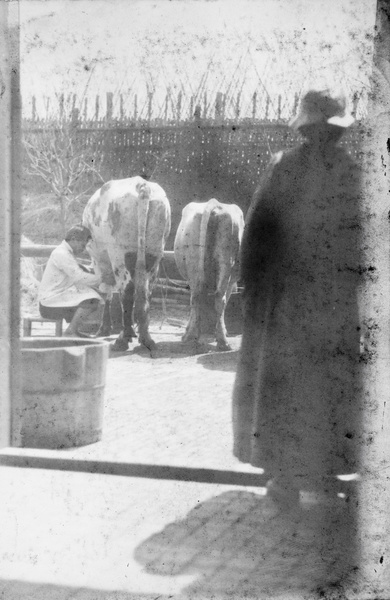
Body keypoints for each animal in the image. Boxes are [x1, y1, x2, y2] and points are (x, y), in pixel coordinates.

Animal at [83, 173, 170, 352]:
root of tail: (142, 185)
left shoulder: (99, 259)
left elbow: (106, 291)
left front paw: (104, 328)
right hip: (153, 254)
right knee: (145, 293)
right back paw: (145, 338)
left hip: (120, 255)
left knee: (127, 291)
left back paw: (123, 339)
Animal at [174, 199, 244, 350]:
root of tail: (214, 204)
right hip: (224, 262)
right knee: (215, 298)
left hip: (199, 262)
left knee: (198, 297)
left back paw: (195, 337)